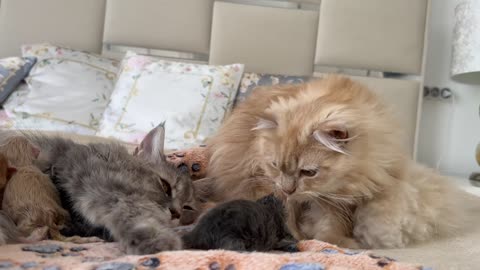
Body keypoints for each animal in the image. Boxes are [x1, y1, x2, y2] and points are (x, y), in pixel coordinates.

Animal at [204, 75, 466, 249]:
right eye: (275, 165)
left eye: (308, 172)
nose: (289, 189)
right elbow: (292, 221)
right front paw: (308, 241)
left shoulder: (340, 202)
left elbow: (331, 226)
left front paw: (334, 242)